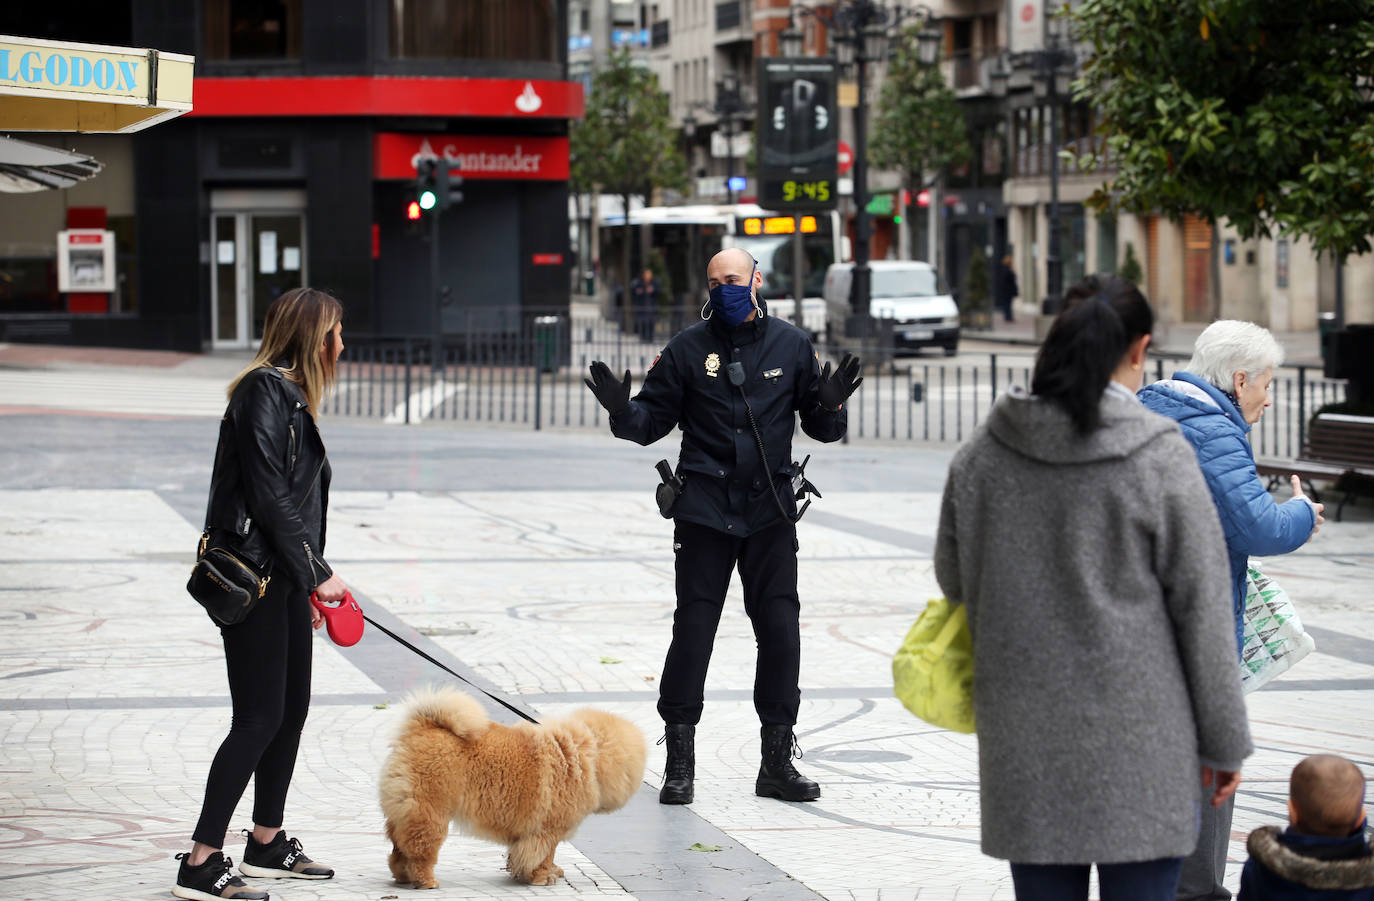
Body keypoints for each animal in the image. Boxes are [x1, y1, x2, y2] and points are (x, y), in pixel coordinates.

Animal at [379, 689, 645, 884]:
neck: (584, 756)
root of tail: (422, 727)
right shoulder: (548, 829)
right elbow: (542, 854)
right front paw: (542, 877)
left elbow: (534, 855)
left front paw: (546, 871)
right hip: (431, 812)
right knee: (419, 849)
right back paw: (426, 880)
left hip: (405, 811)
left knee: (398, 846)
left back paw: (402, 876)